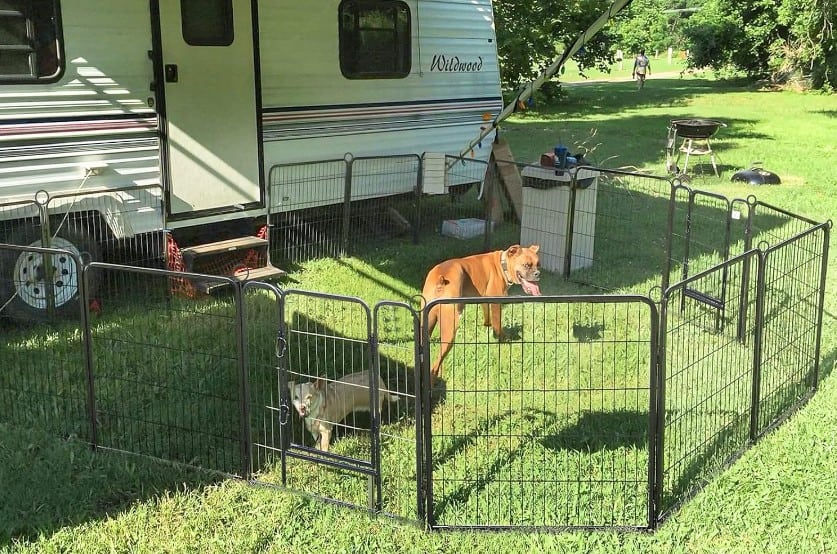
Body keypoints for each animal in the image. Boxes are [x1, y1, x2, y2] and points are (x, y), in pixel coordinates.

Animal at [422, 244, 540, 382]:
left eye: (538, 264)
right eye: (526, 265)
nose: (538, 273)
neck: (502, 265)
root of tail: (440, 279)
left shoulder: (484, 300)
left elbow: (487, 316)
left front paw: (487, 326)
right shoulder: (496, 303)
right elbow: (498, 323)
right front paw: (503, 339)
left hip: (426, 322)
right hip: (449, 330)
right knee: (436, 363)